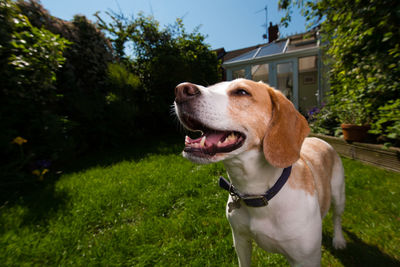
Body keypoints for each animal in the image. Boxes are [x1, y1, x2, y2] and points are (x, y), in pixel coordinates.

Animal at [173, 78, 346, 266]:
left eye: (242, 92)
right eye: (211, 87)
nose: (180, 90)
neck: (257, 192)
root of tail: (320, 139)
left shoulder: (306, 259)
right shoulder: (241, 242)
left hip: (338, 195)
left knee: (337, 218)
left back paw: (338, 240)